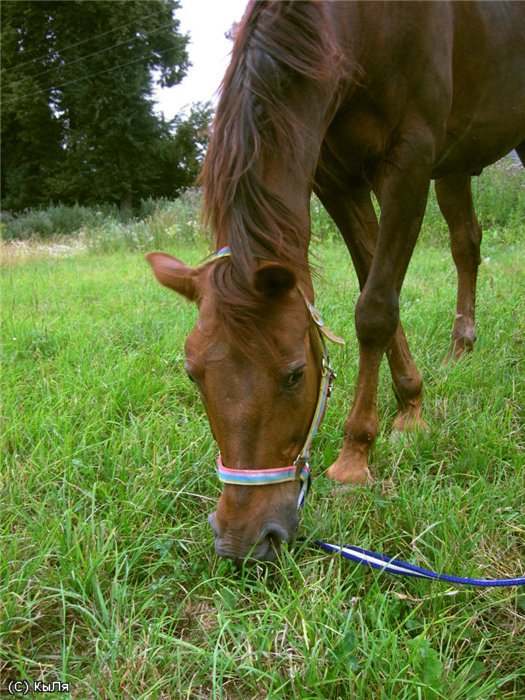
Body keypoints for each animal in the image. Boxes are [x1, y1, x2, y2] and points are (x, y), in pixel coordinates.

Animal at [147, 2, 524, 564]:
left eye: (295, 374)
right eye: (194, 375)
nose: (242, 541)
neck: (361, 30)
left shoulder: (410, 159)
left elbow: (375, 309)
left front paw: (354, 456)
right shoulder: (336, 178)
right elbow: (376, 283)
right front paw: (410, 402)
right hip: (455, 165)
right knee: (466, 243)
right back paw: (461, 347)